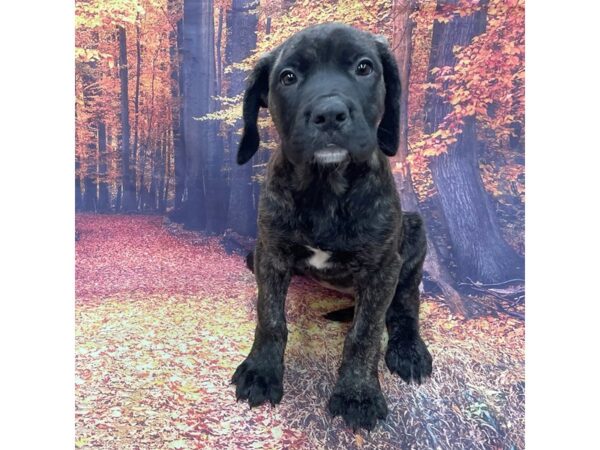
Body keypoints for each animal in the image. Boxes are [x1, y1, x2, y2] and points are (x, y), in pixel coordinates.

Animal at [230, 22, 432, 430]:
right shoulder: (271, 254)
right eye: (288, 77)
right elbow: (270, 317)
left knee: (405, 304)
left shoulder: (382, 268)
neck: (325, 185)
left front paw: (357, 393)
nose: (329, 114)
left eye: (364, 68)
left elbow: (365, 333)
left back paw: (408, 349)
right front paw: (261, 371)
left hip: (414, 235)